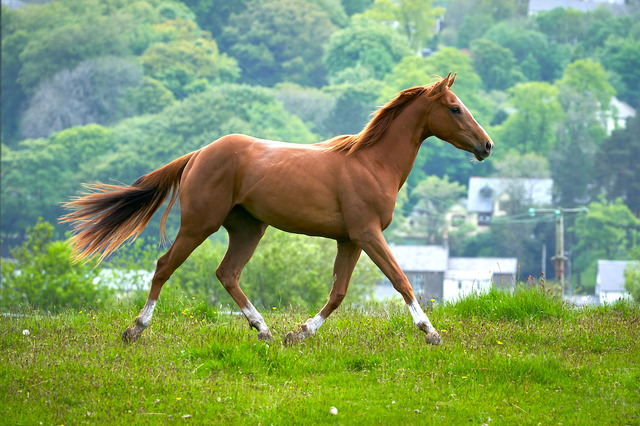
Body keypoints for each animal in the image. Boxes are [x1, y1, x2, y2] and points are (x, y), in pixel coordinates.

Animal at [60, 73, 493, 345]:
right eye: (454, 108)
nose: (486, 145)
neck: (372, 163)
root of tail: (198, 154)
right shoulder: (368, 234)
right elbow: (401, 280)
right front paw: (431, 333)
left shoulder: (350, 240)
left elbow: (338, 293)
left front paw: (298, 333)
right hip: (200, 225)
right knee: (165, 266)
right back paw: (136, 329)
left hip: (249, 229)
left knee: (227, 273)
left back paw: (264, 330)